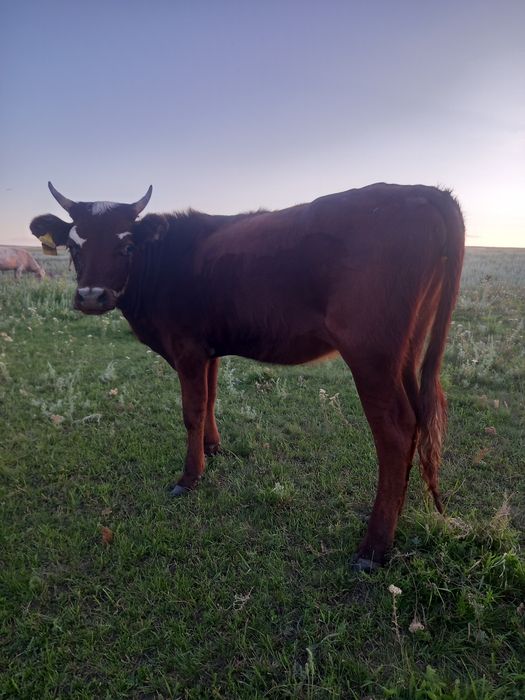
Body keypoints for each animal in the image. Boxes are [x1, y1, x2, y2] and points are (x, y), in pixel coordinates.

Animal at [30, 181, 464, 570]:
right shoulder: (209, 350)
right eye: (74, 245)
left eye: (126, 245)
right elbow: (210, 400)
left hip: (371, 354)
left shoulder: (187, 348)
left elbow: (191, 411)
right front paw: (212, 449)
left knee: (395, 431)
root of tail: (422, 190)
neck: (164, 262)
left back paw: (373, 548)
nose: (91, 296)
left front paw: (189, 477)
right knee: (417, 421)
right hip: (406, 353)